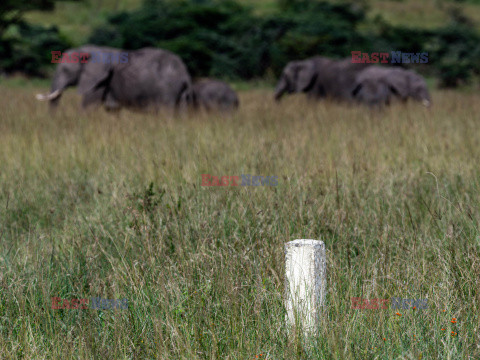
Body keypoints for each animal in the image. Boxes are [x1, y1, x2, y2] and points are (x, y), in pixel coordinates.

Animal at [36, 45, 193, 112]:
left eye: (65, 70)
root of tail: (184, 73)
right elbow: (112, 110)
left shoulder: (99, 81)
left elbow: (88, 105)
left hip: (167, 87)